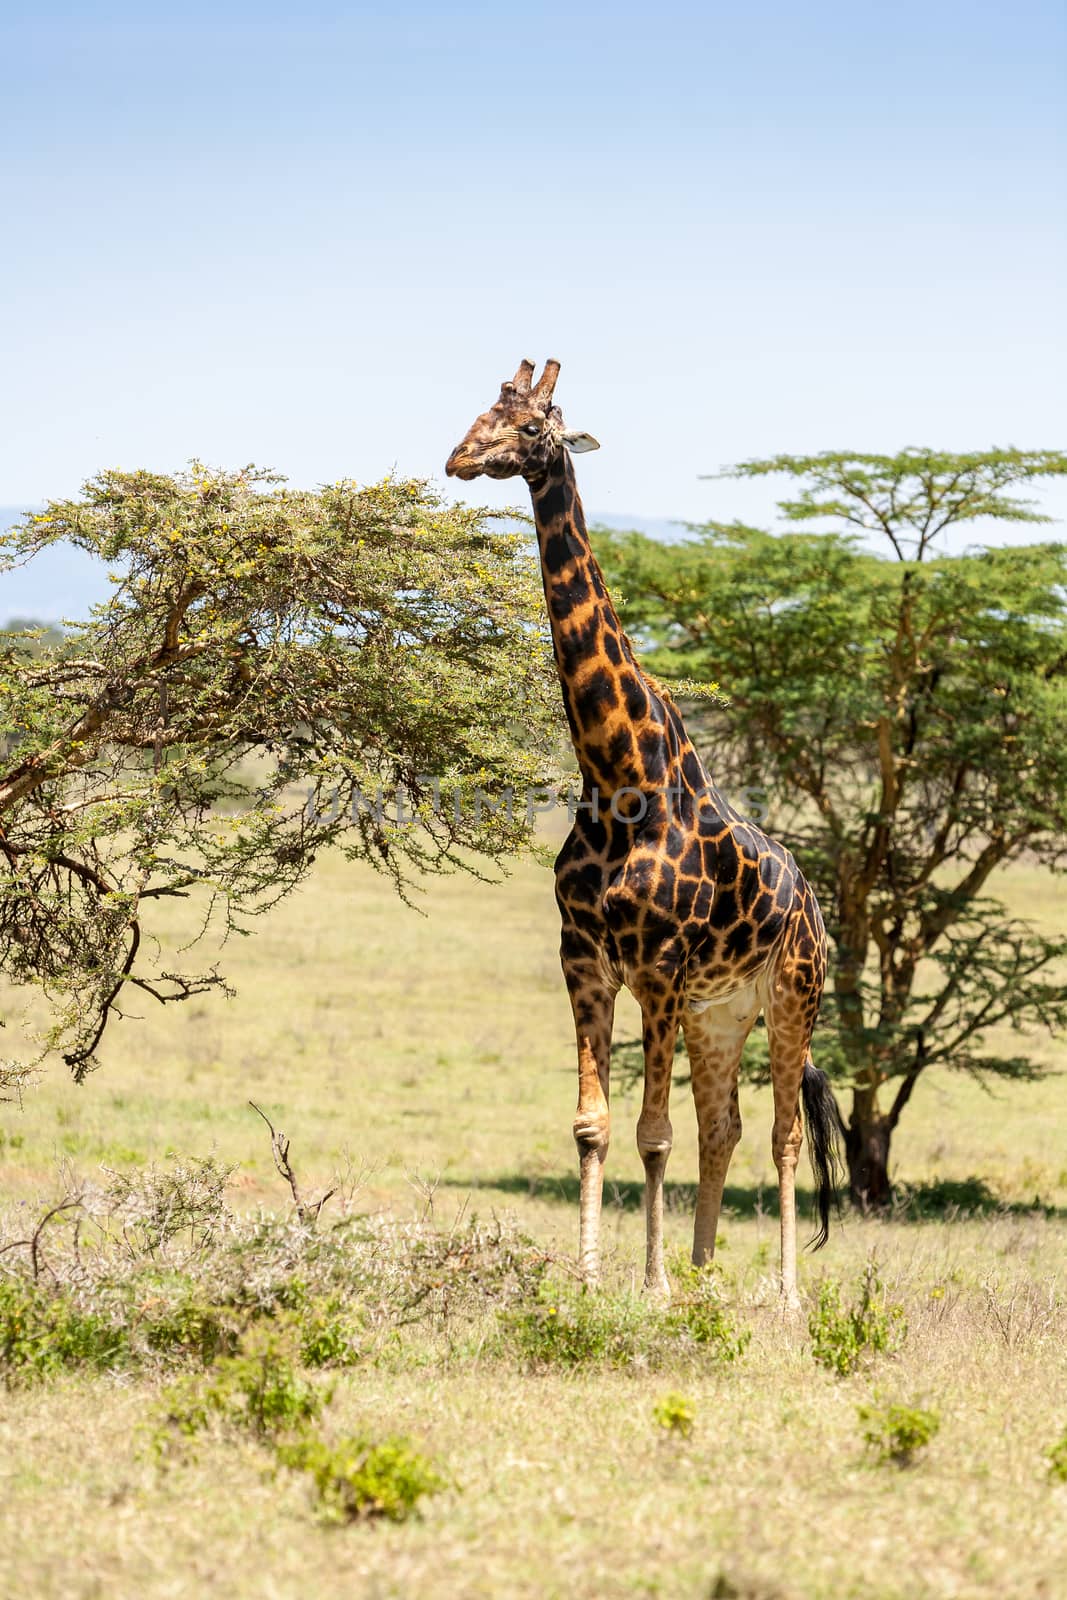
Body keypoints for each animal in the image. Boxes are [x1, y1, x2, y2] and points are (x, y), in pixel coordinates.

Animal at [444, 356, 844, 1305]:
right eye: (480, 412)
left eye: (533, 427)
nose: (458, 459)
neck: (617, 773)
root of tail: (813, 904)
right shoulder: (585, 958)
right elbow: (593, 1126)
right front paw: (596, 1280)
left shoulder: (656, 966)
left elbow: (649, 1133)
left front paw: (650, 1286)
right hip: (720, 1012)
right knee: (722, 1126)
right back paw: (703, 1275)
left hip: (791, 994)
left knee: (780, 1133)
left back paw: (782, 1295)